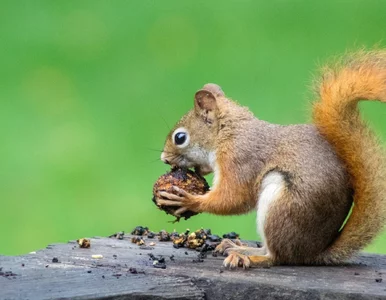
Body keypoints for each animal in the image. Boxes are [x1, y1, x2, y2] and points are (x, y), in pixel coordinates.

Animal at [155, 50, 386, 268]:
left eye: (180, 138)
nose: (164, 158)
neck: (228, 133)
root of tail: (313, 253)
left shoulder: (239, 159)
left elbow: (234, 198)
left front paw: (189, 200)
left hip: (281, 206)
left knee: (277, 257)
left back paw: (247, 256)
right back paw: (235, 246)